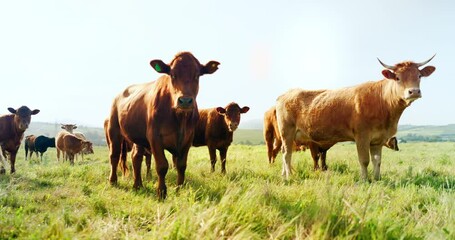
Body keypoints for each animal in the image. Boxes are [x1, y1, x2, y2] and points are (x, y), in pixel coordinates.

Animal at [107, 52, 221, 199]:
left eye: (197, 75)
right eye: (172, 75)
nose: (185, 100)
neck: (179, 118)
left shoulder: (188, 139)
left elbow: (181, 165)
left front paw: (179, 189)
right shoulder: (154, 137)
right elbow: (162, 166)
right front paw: (161, 192)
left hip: (137, 136)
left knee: (136, 157)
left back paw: (138, 185)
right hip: (114, 130)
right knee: (114, 156)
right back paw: (113, 181)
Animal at [276, 55, 436, 180]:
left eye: (419, 76)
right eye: (397, 78)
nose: (414, 91)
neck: (383, 103)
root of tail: (285, 94)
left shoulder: (378, 139)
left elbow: (377, 161)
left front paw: (377, 179)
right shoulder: (362, 136)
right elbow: (364, 160)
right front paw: (364, 180)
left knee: (284, 152)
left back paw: (283, 175)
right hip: (287, 131)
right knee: (287, 154)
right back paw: (289, 176)